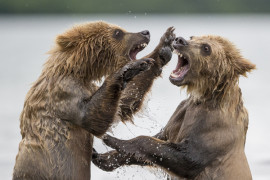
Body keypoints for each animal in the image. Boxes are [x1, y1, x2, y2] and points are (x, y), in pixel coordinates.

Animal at [12, 21, 176, 180]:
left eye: (120, 29)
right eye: (117, 32)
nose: (145, 32)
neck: (77, 72)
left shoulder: (89, 88)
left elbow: (123, 104)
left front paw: (163, 46)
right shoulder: (62, 93)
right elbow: (91, 118)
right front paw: (129, 68)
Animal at [92, 34, 255, 179]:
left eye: (206, 48)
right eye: (192, 37)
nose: (180, 40)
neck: (204, 97)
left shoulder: (215, 127)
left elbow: (187, 158)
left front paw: (112, 139)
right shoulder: (181, 112)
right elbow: (161, 139)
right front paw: (102, 157)